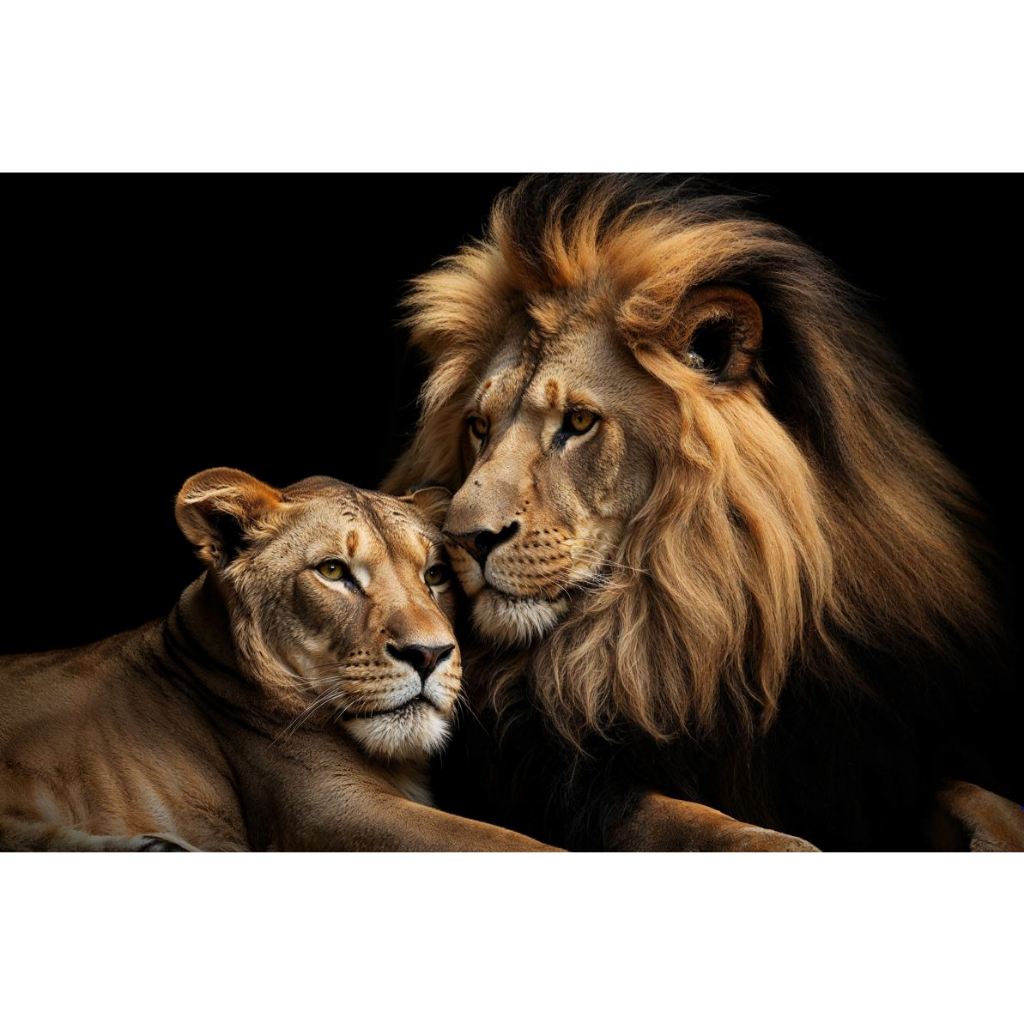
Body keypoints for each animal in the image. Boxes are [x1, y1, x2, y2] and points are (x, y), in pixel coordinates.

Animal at [386, 175, 1024, 851]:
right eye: (479, 427)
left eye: (579, 422)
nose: (464, 538)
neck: (694, 625)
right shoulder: (561, 783)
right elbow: (723, 829)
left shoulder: (870, 752)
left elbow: (977, 795)